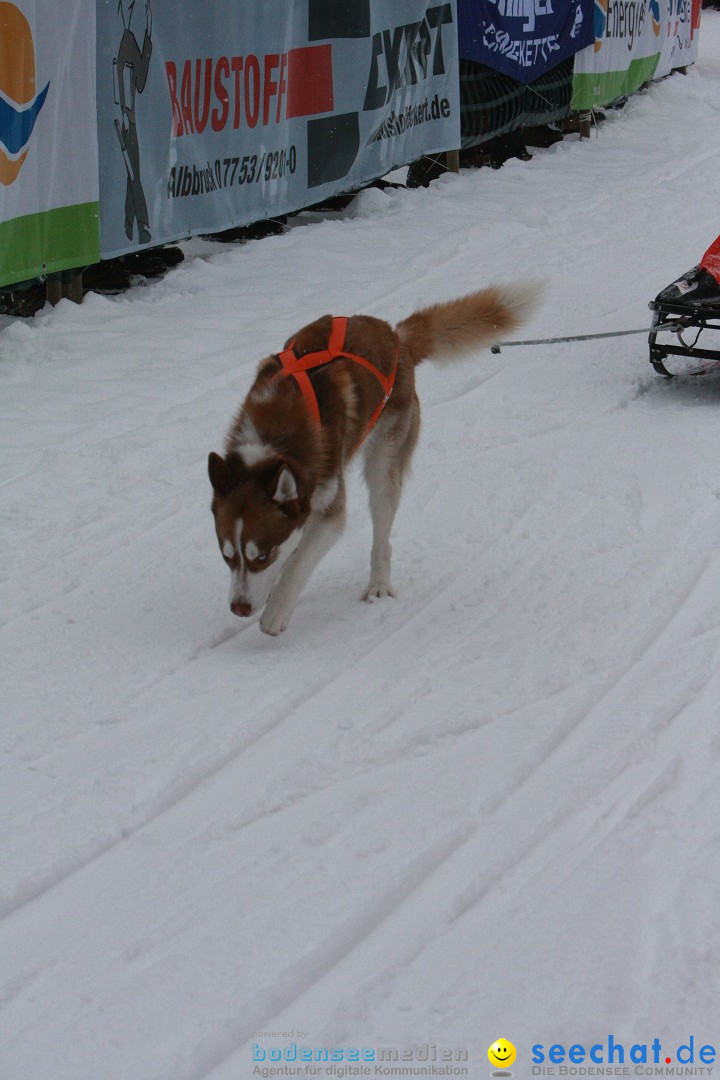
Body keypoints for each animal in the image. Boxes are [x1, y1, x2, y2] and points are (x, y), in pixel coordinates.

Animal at [208, 285, 539, 630]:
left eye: (261, 555)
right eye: (226, 555)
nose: (240, 608)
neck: (274, 438)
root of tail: (395, 338)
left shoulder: (330, 512)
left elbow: (300, 561)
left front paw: (276, 610)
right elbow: (293, 549)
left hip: (383, 466)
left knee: (382, 535)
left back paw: (378, 582)